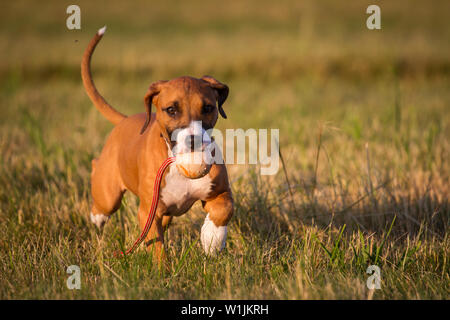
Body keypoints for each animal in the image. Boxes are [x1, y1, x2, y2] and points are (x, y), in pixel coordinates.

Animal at [81, 26, 234, 262]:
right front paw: (163, 269)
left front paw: (212, 239)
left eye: (208, 108)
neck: (177, 164)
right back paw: (97, 217)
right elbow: (157, 248)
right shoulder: (148, 213)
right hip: (109, 195)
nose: (194, 140)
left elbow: (224, 209)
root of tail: (124, 120)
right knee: (100, 185)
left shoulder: (220, 192)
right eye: (171, 110)